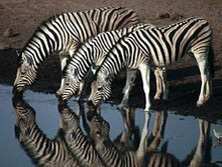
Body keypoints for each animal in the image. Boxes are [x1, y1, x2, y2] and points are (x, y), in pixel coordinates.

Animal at [12, 6, 140, 96]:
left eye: (22, 73)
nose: (13, 91)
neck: (57, 36)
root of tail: (131, 10)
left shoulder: (75, 48)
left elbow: (77, 68)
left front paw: (78, 89)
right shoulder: (62, 54)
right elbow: (63, 71)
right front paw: (60, 90)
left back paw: (127, 87)